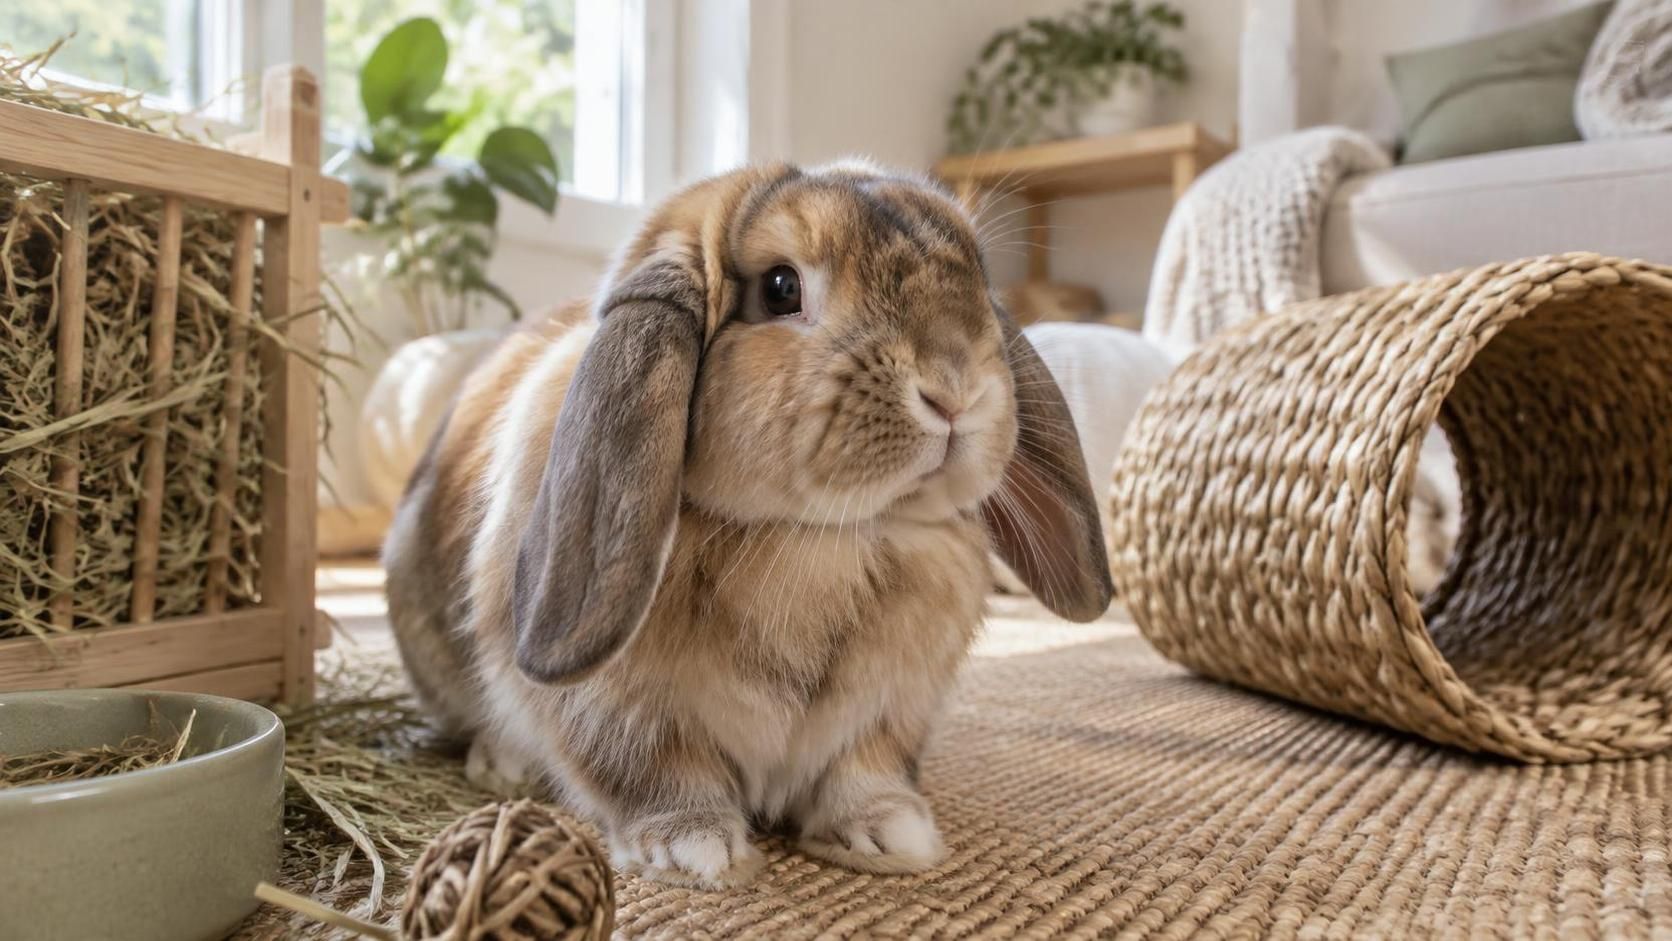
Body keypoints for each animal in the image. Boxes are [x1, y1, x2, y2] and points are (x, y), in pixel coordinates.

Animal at [382, 160, 1113, 888]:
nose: (957, 391)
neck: (818, 540)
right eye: (781, 287)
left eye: (980, 281)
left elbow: (863, 772)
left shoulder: (887, 712)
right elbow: (654, 775)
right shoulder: (616, 713)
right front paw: (696, 851)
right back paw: (501, 765)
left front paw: (892, 836)